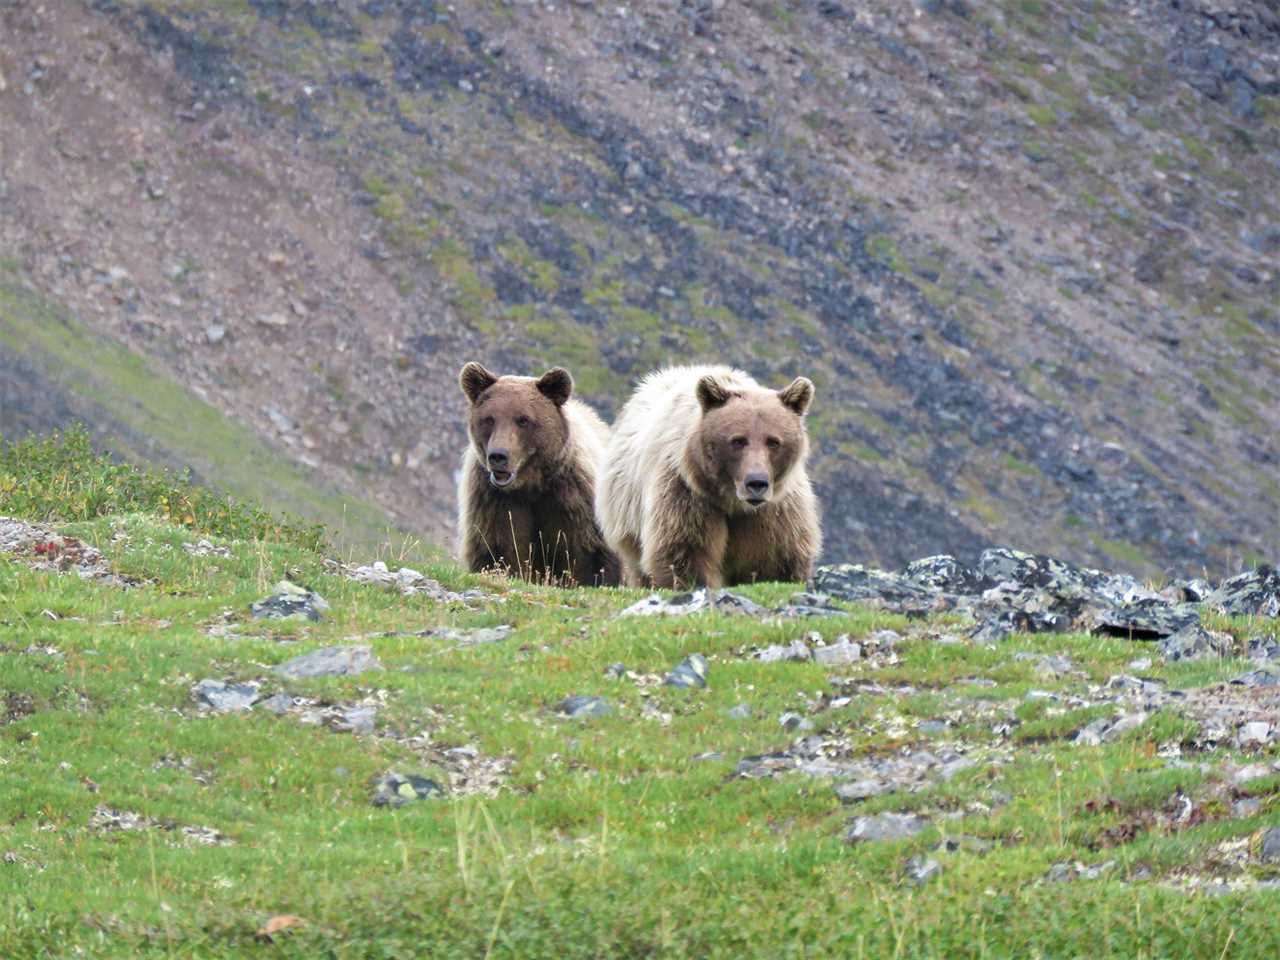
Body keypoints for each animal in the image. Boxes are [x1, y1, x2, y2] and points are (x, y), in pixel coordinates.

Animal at [458, 360, 622, 586]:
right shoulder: (495, 502)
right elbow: (501, 550)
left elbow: (586, 555)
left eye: (523, 419)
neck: (531, 485)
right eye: (489, 419)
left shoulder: (572, 500)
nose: (498, 456)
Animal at [596, 366, 819, 591]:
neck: (733, 502)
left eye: (773, 441)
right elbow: (685, 550)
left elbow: (775, 558)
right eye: (738, 441)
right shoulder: (687, 492)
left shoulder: (774, 511)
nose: (756, 483)